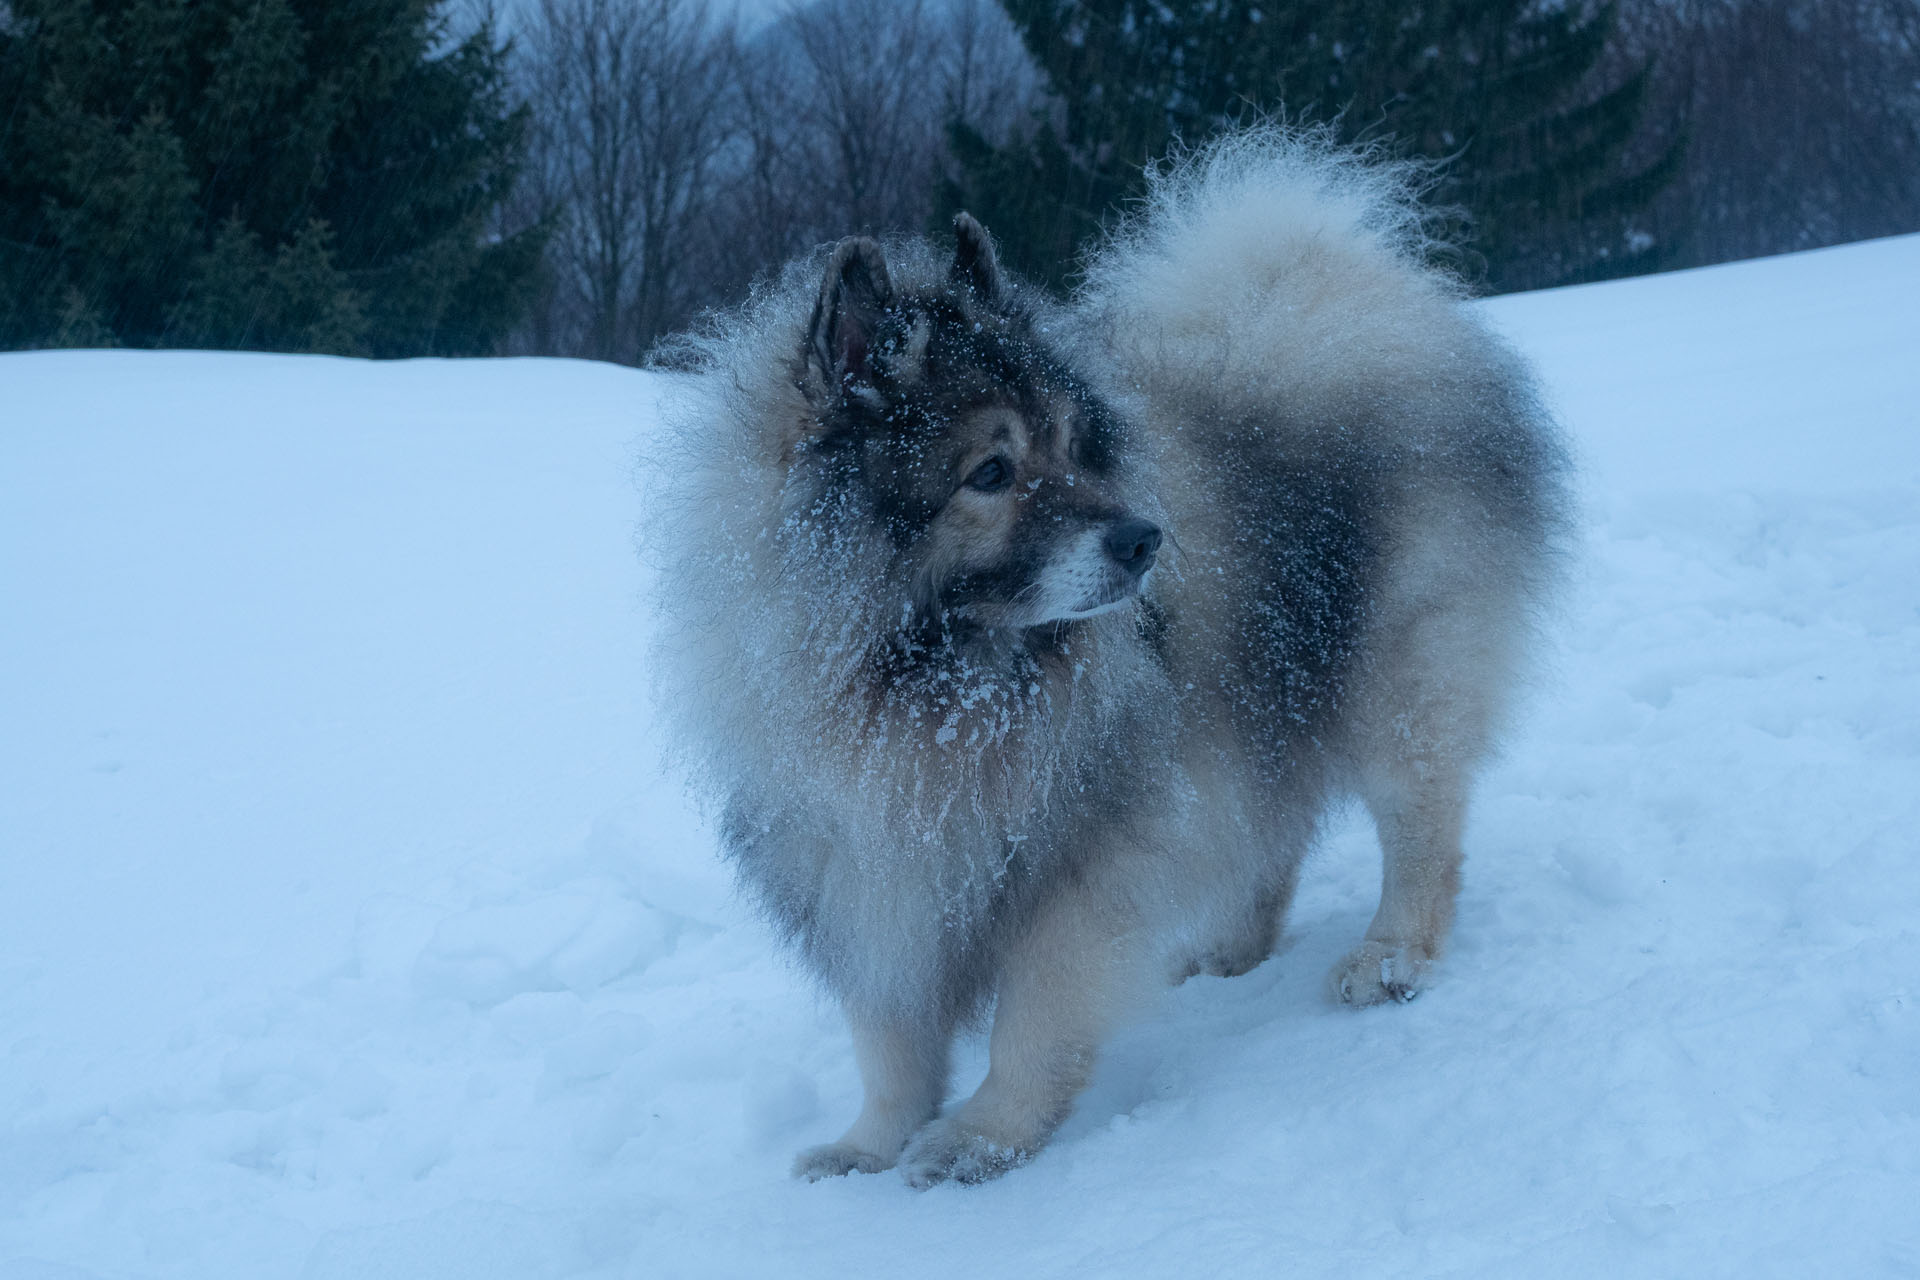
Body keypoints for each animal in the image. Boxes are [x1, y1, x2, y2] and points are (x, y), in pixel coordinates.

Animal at [652, 124, 1566, 1189]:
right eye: (992, 471)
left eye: (1071, 446)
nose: (1144, 539)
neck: (936, 684)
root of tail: (1343, 294)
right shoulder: (868, 862)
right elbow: (890, 1036)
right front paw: (869, 1147)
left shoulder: (1079, 865)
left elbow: (1032, 1018)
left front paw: (983, 1136)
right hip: (1261, 696)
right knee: (1271, 829)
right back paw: (1228, 953)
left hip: (1399, 683)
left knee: (1421, 833)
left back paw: (1390, 957)